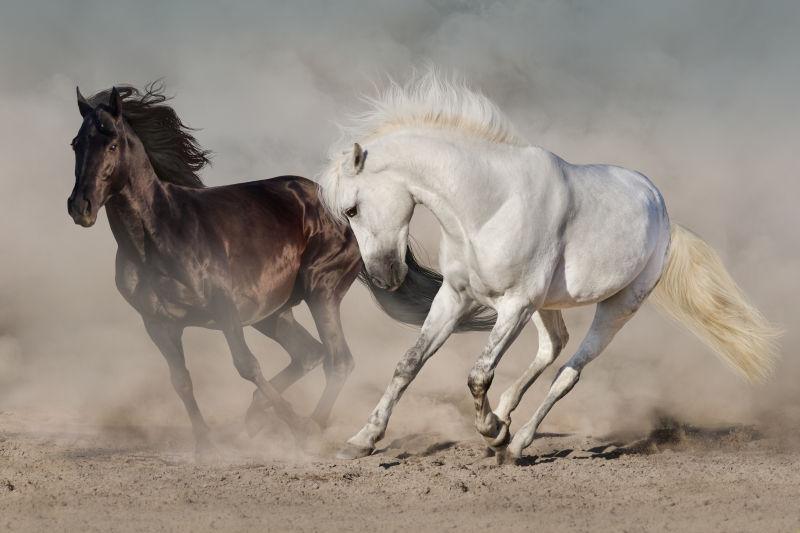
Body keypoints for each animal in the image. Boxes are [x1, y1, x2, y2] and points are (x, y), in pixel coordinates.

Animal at [69, 85, 494, 456]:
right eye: (76, 144)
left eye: (111, 143)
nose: (80, 207)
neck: (160, 235)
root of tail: (341, 205)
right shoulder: (159, 324)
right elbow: (182, 382)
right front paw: (206, 446)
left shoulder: (225, 311)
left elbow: (246, 365)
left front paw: (294, 426)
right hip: (271, 313)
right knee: (310, 354)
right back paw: (256, 418)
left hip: (319, 291)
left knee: (337, 359)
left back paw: (310, 427)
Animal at [316, 69, 780, 462]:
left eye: (352, 209)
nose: (385, 277)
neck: (489, 206)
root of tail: (663, 212)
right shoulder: (456, 296)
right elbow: (409, 364)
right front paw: (361, 441)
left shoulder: (516, 304)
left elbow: (478, 374)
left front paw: (491, 431)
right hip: (548, 305)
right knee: (553, 346)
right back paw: (506, 416)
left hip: (618, 306)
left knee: (569, 370)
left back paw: (516, 442)